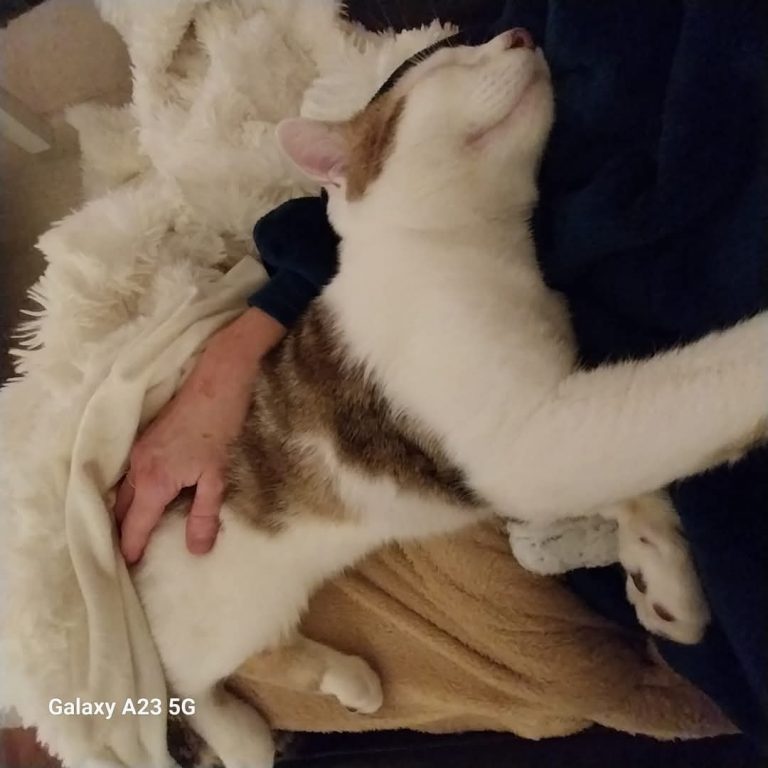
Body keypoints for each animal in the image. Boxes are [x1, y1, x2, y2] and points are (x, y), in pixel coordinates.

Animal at [133, 29, 768, 768]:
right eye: (442, 66)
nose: (518, 33)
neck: (475, 249)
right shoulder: (529, 438)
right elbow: (677, 401)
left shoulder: (557, 402)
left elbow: (632, 466)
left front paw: (658, 566)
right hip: (219, 618)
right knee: (194, 684)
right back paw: (247, 729)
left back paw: (345, 680)